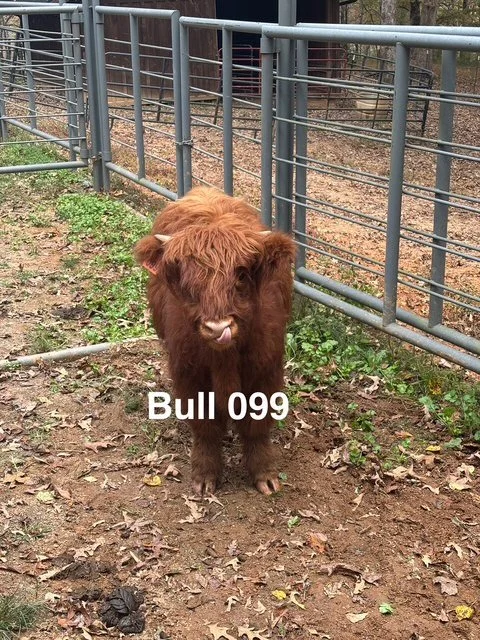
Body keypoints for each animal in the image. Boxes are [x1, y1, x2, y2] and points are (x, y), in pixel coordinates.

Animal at [135, 187, 296, 495]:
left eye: (242, 274)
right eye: (187, 279)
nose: (217, 328)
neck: (225, 358)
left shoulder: (265, 369)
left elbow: (257, 426)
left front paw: (265, 475)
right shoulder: (189, 373)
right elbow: (206, 426)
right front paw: (205, 474)